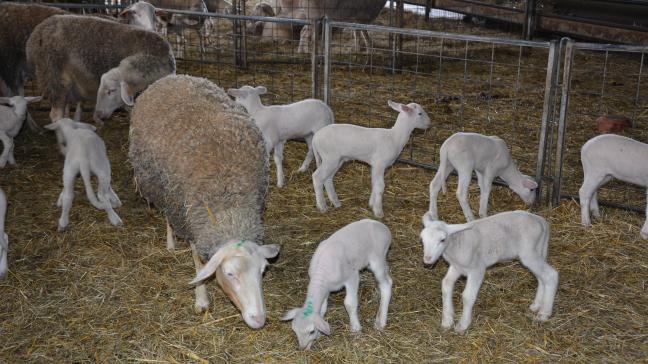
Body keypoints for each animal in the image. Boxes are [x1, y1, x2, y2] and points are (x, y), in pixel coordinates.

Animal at [128, 74, 278, 330]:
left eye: (263, 271)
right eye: (229, 274)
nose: (259, 320)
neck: (229, 206)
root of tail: (172, 77)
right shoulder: (192, 217)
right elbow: (198, 262)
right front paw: (201, 299)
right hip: (167, 192)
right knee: (167, 215)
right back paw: (170, 243)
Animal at [280, 219, 392, 350]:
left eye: (311, 331)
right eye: (294, 330)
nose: (303, 348)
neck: (321, 273)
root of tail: (381, 225)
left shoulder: (352, 277)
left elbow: (349, 303)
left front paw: (355, 328)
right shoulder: (325, 290)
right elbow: (323, 308)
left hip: (377, 259)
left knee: (386, 285)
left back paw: (381, 322)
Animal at [422, 210, 560, 332]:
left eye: (442, 240)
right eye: (422, 239)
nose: (427, 259)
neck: (458, 243)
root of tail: (542, 222)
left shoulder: (477, 269)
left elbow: (467, 296)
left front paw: (463, 325)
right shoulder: (456, 267)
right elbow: (446, 285)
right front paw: (447, 320)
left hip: (529, 253)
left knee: (550, 275)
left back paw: (544, 313)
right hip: (539, 250)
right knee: (541, 278)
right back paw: (536, 305)